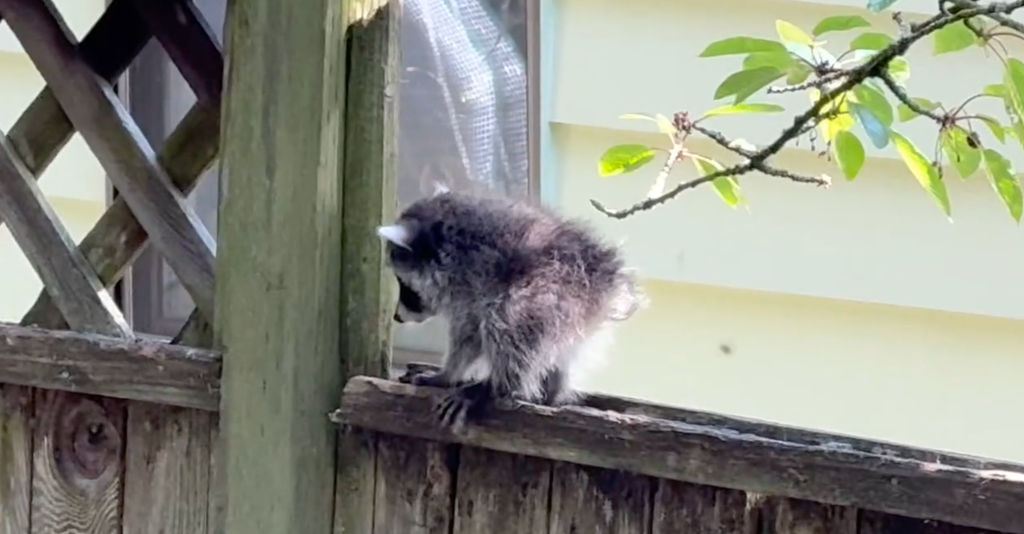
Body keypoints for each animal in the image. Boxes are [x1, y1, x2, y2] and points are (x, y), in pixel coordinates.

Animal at [377, 186, 644, 431]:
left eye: (404, 285)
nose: (397, 316)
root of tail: (606, 283)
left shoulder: (468, 282)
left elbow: (469, 335)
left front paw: (448, 374)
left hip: (551, 289)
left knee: (507, 321)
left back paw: (497, 387)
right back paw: (552, 391)